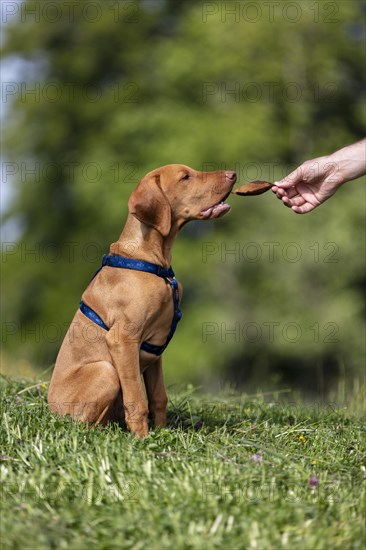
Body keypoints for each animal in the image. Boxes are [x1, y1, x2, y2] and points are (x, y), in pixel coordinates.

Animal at [48, 164, 237, 440]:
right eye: (185, 177)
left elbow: (158, 397)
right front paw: (142, 439)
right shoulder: (123, 339)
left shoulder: (155, 346)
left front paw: (161, 432)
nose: (233, 174)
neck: (152, 260)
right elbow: (137, 400)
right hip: (105, 370)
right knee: (82, 423)